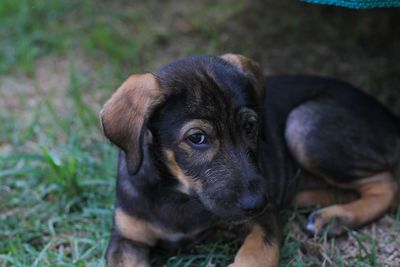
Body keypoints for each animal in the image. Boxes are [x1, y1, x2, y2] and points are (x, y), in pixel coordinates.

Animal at [101, 55, 400, 267]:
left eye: (250, 127)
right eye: (197, 138)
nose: (258, 202)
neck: (180, 195)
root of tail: (390, 118)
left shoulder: (263, 221)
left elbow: (255, 256)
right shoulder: (126, 239)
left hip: (303, 124)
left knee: (386, 182)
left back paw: (336, 217)